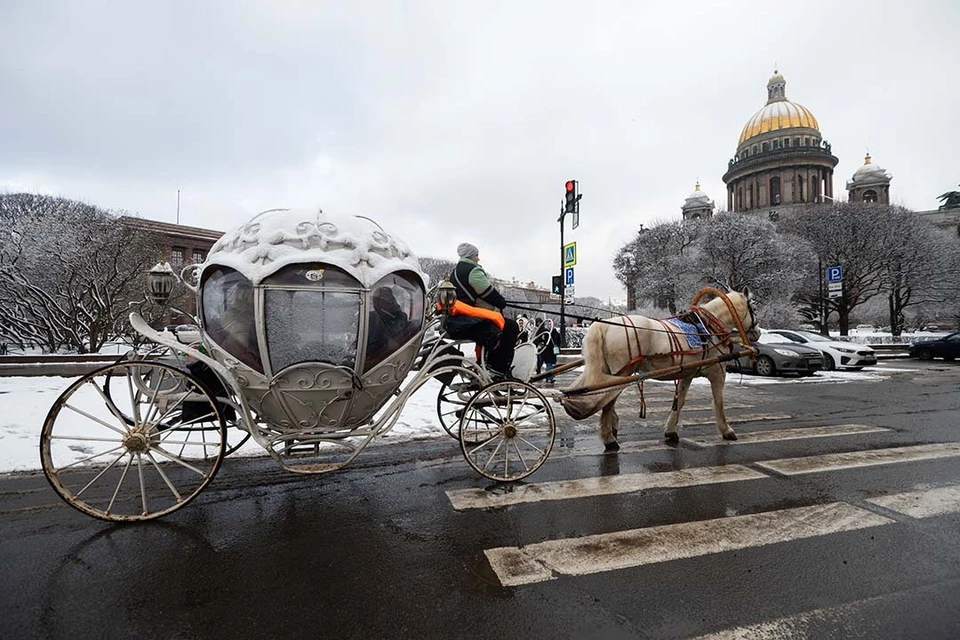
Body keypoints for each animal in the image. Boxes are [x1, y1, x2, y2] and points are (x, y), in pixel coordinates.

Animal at [564, 288, 756, 448]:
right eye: (754, 307)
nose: (757, 332)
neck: (709, 328)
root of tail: (604, 324)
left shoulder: (688, 373)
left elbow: (680, 401)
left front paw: (671, 431)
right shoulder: (718, 372)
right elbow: (719, 402)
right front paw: (727, 430)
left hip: (609, 371)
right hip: (622, 373)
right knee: (607, 403)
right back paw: (610, 439)